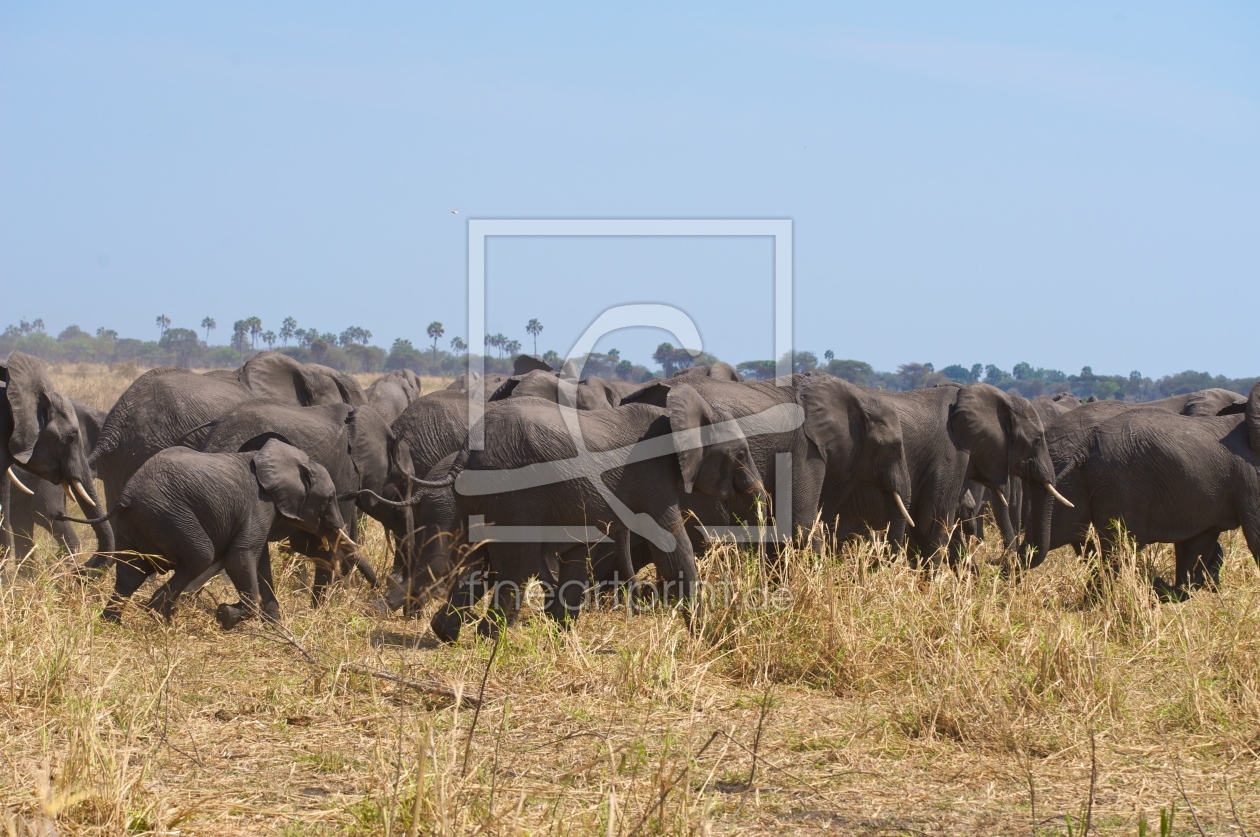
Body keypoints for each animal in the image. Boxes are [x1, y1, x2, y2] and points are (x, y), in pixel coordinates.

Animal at [64, 438, 360, 627]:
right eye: (329, 498)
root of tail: (125, 497)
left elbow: (260, 564)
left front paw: (276, 628)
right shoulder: (258, 504)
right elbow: (240, 558)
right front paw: (226, 615)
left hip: (136, 522)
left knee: (131, 571)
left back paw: (114, 622)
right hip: (169, 514)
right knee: (199, 556)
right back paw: (158, 615)